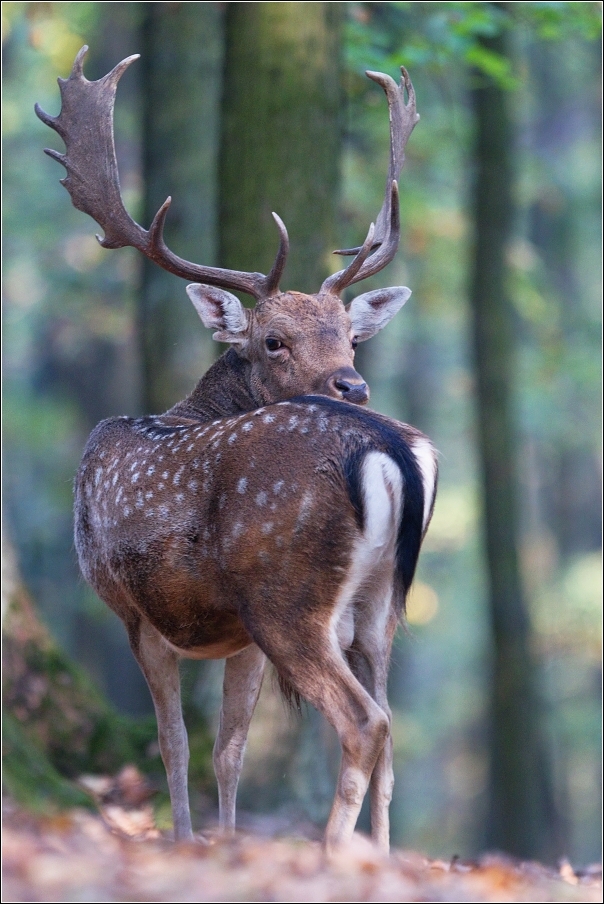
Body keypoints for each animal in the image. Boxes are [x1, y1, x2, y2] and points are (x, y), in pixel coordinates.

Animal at [35, 49, 436, 856]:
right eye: (273, 340)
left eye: (349, 336)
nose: (354, 382)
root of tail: (389, 449)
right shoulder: (237, 639)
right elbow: (228, 748)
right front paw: (219, 841)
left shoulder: (131, 607)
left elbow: (174, 744)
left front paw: (188, 843)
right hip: (379, 604)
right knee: (392, 730)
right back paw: (379, 856)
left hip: (286, 592)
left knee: (364, 720)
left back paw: (331, 853)